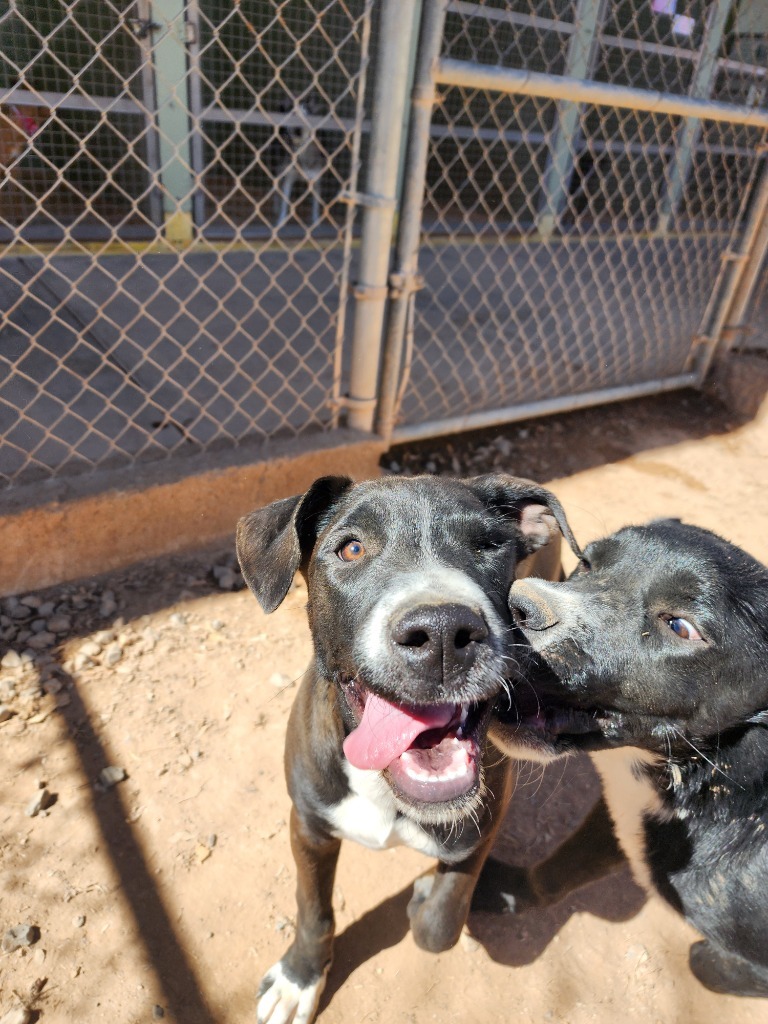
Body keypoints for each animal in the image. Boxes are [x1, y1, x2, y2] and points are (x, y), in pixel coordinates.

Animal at [237, 473, 581, 1024]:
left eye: (489, 545)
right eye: (351, 548)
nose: (442, 632)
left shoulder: (480, 831)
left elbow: (440, 925)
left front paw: (425, 898)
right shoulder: (308, 824)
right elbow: (313, 910)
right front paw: (298, 978)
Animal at [489, 524, 768, 995]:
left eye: (680, 627)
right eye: (586, 562)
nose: (516, 604)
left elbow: (703, 964)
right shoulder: (622, 816)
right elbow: (557, 871)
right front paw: (503, 891)